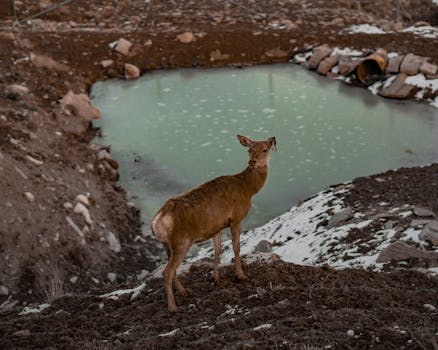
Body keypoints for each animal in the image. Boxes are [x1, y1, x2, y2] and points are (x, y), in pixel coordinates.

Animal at [152, 135, 278, 312]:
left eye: (264, 149)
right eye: (249, 150)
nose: (252, 162)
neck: (247, 189)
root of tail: (156, 224)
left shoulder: (217, 226)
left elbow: (217, 250)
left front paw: (216, 278)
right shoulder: (236, 218)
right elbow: (236, 247)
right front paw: (241, 276)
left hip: (167, 245)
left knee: (172, 270)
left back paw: (185, 292)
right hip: (181, 241)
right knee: (166, 272)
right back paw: (173, 307)